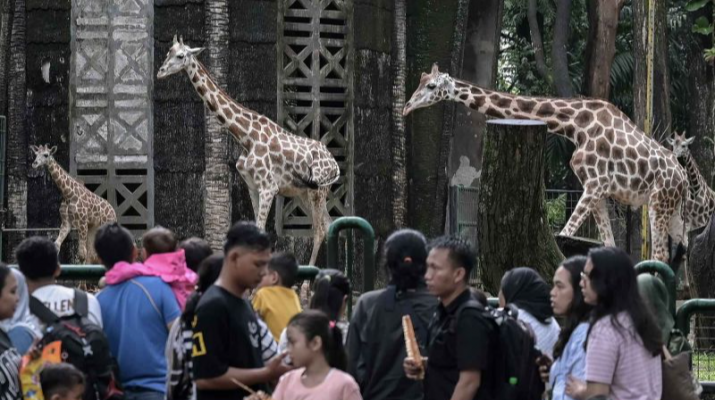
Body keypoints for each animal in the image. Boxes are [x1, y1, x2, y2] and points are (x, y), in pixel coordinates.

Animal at [157, 35, 340, 266]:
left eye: (181, 56)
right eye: (168, 53)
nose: (160, 72)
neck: (245, 137)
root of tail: (335, 164)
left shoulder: (268, 187)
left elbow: (262, 231)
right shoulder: (253, 186)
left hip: (318, 190)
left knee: (320, 229)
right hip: (303, 193)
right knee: (329, 223)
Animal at [404, 63, 688, 263]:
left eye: (431, 86)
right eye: (420, 81)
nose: (406, 107)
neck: (575, 126)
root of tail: (683, 178)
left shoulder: (595, 184)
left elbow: (565, 234)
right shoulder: (598, 189)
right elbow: (608, 244)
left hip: (658, 202)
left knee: (660, 254)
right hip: (672, 210)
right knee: (682, 247)